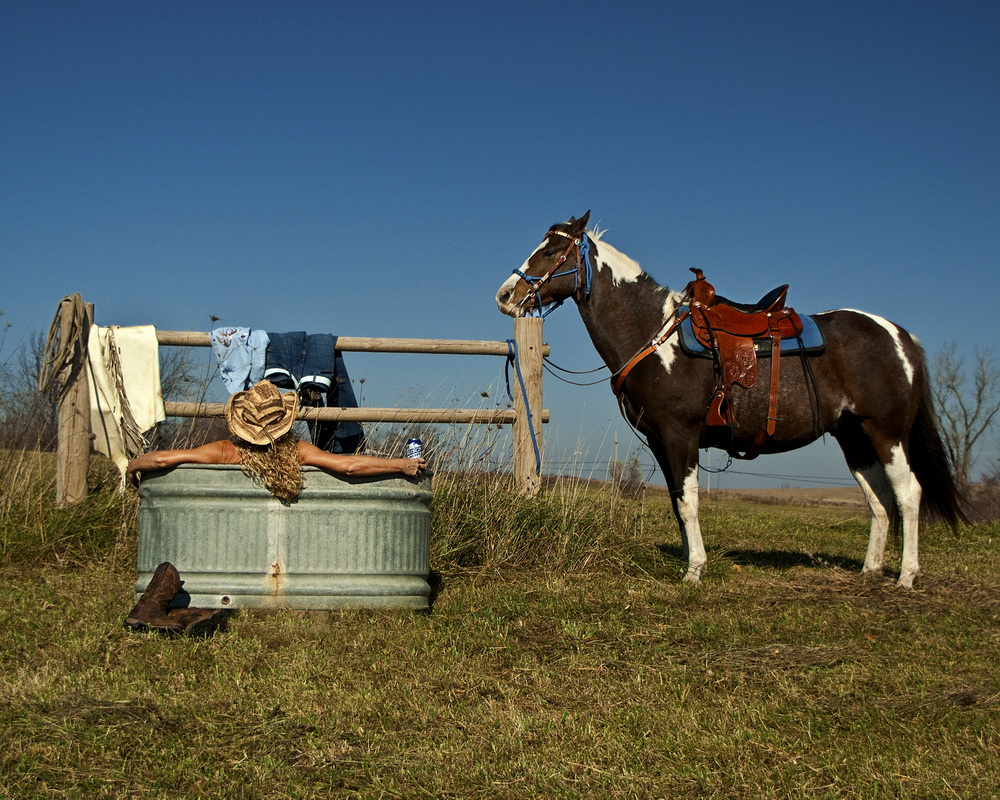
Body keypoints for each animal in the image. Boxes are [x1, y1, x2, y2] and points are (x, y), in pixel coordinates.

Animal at [496, 212, 964, 588]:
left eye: (552, 250)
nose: (504, 296)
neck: (653, 334)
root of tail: (898, 335)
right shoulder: (659, 441)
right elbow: (676, 502)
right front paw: (690, 561)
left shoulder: (680, 435)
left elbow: (688, 503)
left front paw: (694, 571)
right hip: (854, 437)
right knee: (879, 498)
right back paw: (870, 570)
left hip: (887, 433)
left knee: (908, 493)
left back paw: (906, 576)